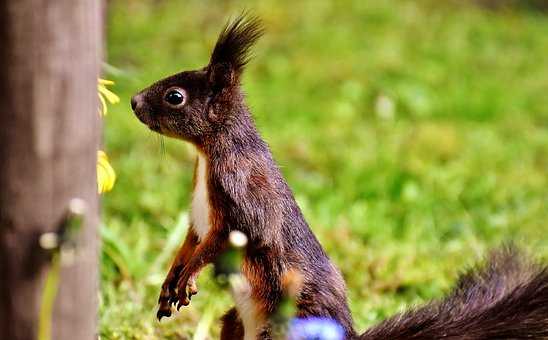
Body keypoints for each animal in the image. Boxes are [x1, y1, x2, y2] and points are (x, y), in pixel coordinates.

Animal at [130, 13, 548, 340]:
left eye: (175, 96)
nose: (134, 102)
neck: (206, 156)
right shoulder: (201, 218)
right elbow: (192, 239)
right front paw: (171, 279)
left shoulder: (243, 189)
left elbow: (240, 235)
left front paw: (190, 275)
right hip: (234, 322)